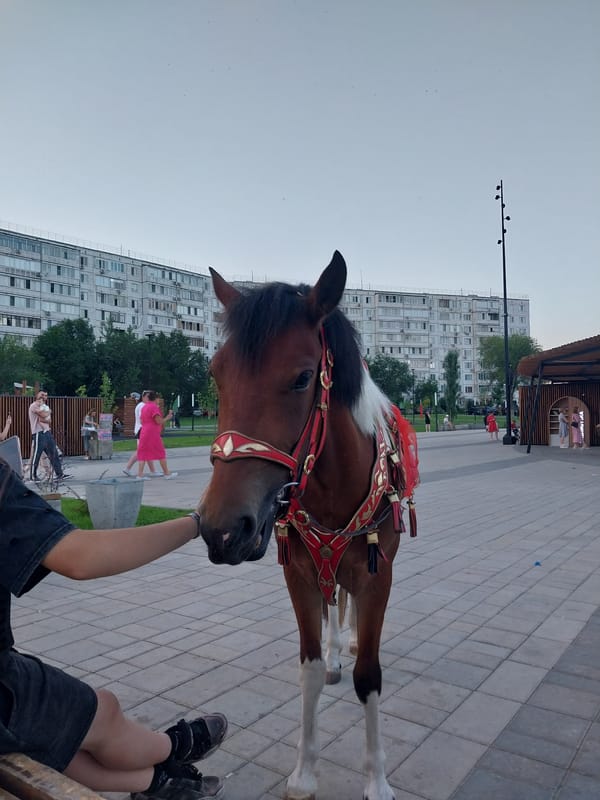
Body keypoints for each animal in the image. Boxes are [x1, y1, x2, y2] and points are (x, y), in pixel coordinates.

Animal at [198, 251, 419, 800]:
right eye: (216, 373)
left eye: (301, 378)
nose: (222, 529)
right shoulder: (298, 576)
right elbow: (310, 670)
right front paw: (304, 773)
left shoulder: (377, 574)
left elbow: (370, 676)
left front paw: (377, 779)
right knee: (333, 605)